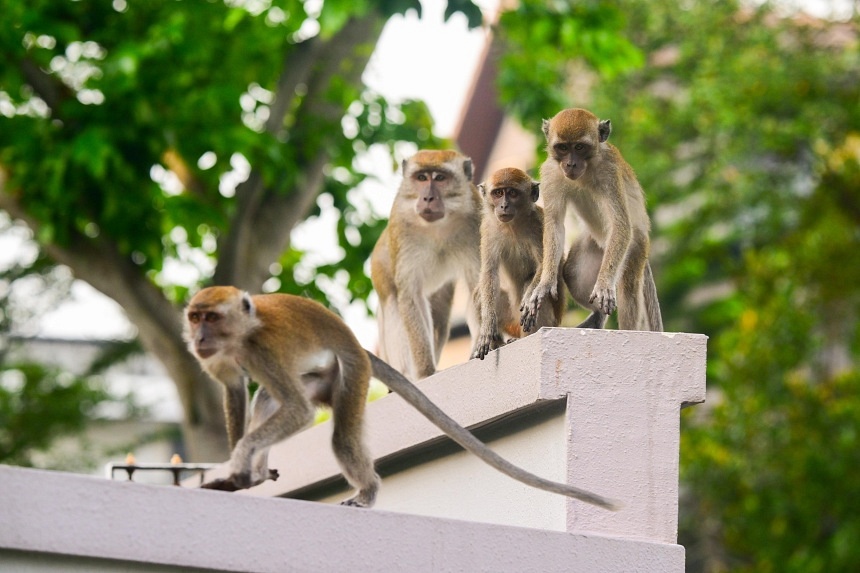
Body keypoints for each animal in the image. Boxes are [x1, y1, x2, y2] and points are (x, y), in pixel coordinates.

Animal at [185, 286, 620, 510]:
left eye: (212, 317)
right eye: (195, 317)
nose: (199, 338)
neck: (240, 336)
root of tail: (358, 347)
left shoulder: (263, 350)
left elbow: (300, 411)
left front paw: (240, 459)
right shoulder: (222, 358)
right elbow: (235, 390)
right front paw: (237, 471)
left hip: (350, 373)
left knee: (338, 436)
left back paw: (367, 492)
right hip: (320, 377)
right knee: (267, 399)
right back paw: (259, 474)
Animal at [368, 150, 484, 380]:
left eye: (440, 178)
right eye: (421, 178)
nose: (427, 198)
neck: (437, 227)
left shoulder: (475, 222)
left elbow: (476, 283)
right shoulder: (401, 226)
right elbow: (410, 294)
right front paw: (426, 372)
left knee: (440, 314)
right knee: (394, 302)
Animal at [470, 166, 564, 358]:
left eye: (512, 193)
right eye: (498, 193)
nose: (504, 206)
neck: (511, 226)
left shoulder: (539, 224)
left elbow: (545, 267)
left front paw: (529, 299)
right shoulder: (488, 228)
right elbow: (489, 272)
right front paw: (487, 327)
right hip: (510, 321)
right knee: (481, 291)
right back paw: (496, 343)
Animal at [516, 107, 664, 330]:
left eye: (579, 147)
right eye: (562, 147)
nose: (570, 164)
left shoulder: (610, 171)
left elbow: (620, 223)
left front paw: (603, 285)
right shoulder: (550, 172)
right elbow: (555, 224)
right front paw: (544, 284)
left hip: (634, 247)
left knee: (628, 288)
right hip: (593, 245)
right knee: (573, 273)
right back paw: (597, 316)